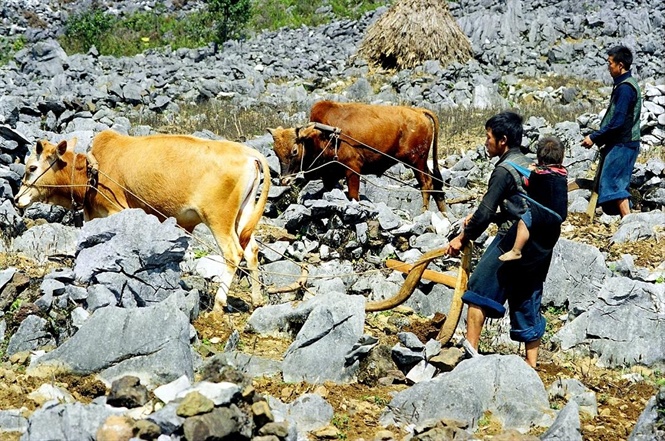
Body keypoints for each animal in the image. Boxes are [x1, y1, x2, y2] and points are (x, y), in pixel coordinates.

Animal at [14, 129, 270, 312]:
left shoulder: (117, 210)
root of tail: (249, 153)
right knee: (251, 250)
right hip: (242, 216)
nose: (17, 199)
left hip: (218, 219)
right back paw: (257, 299)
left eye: (32, 167)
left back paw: (218, 305)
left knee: (233, 254)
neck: (90, 171)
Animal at [268, 100, 446, 212]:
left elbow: (354, 196)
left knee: (427, 184)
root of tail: (418, 111)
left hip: (416, 161)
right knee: (436, 183)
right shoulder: (329, 176)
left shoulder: (352, 170)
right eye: (275, 152)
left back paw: (424, 212)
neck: (324, 135)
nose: (284, 180)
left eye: (294, 151)